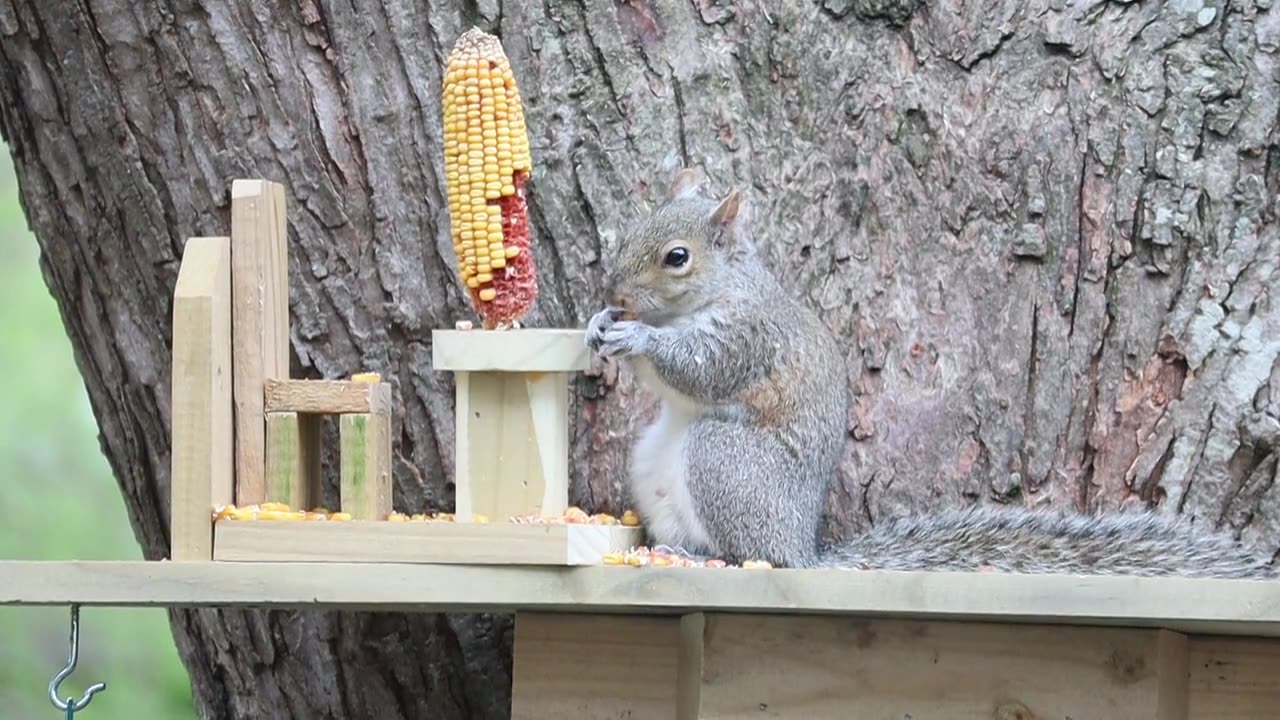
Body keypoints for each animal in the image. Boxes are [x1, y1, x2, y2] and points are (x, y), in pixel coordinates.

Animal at [586, 166, 1274, 576]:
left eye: (677, 257)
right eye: (634, 228)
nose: (612, 289)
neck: (714, 294)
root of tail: (803, 552)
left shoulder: (749, 337)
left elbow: (701, 370)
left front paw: (635, 335)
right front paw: (599, 323)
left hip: (725, 464)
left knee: (748, 554)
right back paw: (671, 549)